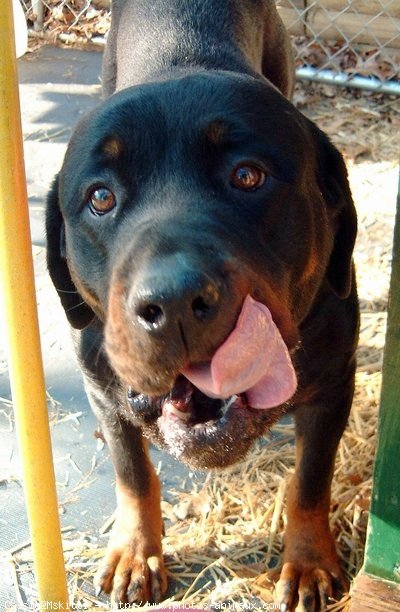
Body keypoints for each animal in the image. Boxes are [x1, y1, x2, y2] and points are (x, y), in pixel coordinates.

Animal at [47, 0, 360, 608]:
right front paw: (135, 552)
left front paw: (309, 563)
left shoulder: (336, 380)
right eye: (101, 197)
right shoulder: (101, 387)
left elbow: (311, 479)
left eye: (248, 176)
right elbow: (132, 472)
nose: (172, 301)